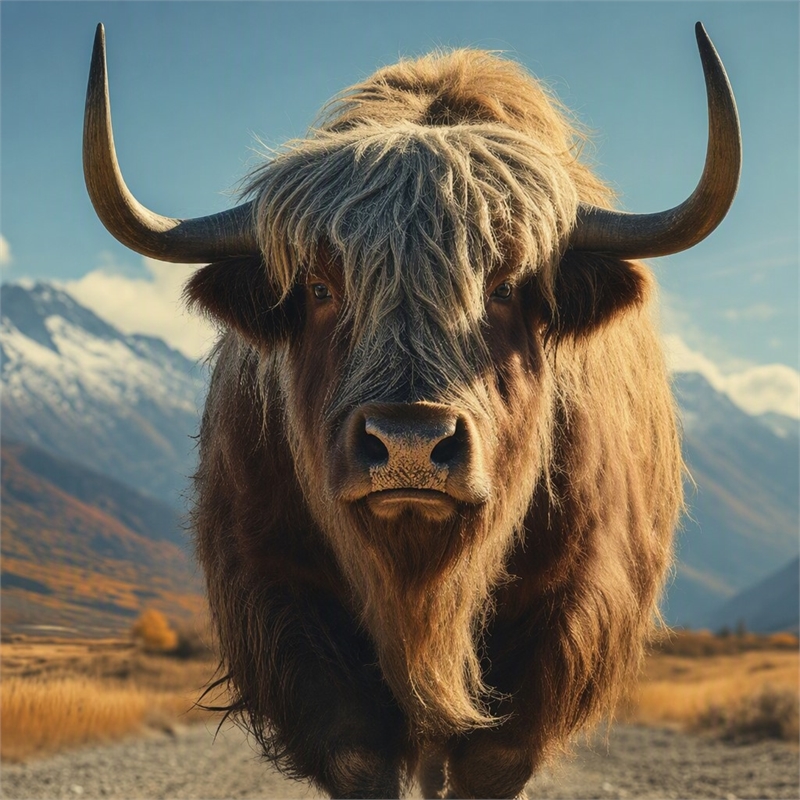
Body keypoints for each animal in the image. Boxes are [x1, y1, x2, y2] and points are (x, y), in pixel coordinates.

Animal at [83, 22, 740, 799]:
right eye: (318, 286)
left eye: (507, 285)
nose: (408, 444)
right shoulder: (281, 596)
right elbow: (358, 753)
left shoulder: (568, 608)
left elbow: (492, 758)